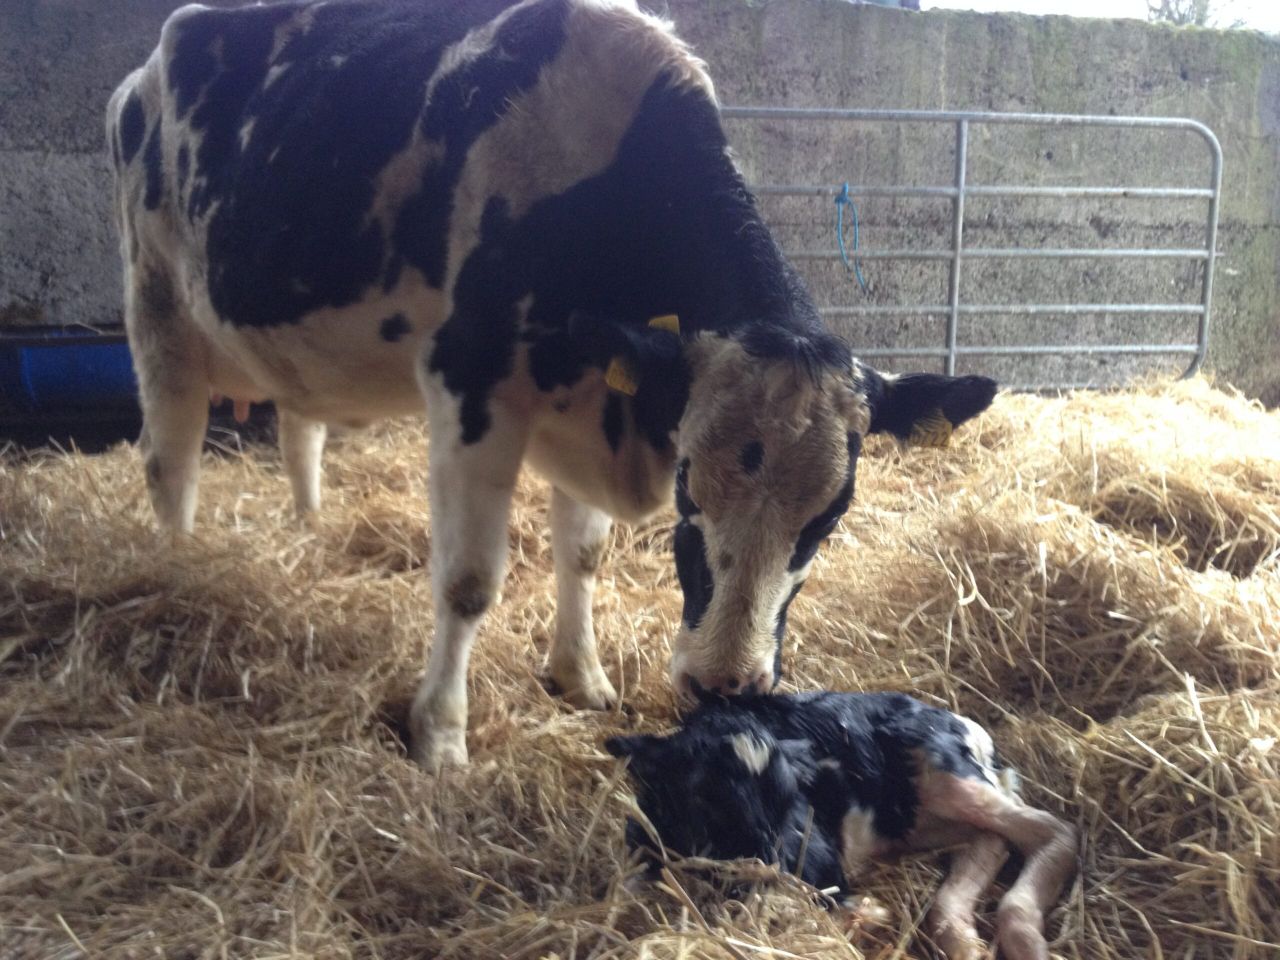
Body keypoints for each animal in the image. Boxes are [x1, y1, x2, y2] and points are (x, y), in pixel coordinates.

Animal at [106, 0, 998, 770]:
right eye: (688, 490)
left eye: (831, 515)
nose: (723, 684)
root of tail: (144, 67)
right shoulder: (470, 386)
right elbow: (469, 583)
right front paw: (441, 735)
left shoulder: (595, 398)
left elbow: (586, 553)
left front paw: (582, 678)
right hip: (156, 303)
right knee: (170, 460)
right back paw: (178, 572)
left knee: (299, 430)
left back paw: (311, 525)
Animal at [608, 692, 1077, 960]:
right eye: (706, 797)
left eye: (792, 795)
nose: (775, 867)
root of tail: (964, 724)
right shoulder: (642, 845)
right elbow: (622, 895)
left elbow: (846, 908)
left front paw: (872, 915)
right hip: (912, 820)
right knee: (991, 840)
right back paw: (964, 943)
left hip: (946, 771)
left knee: (1052, 829)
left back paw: (1024, 937)